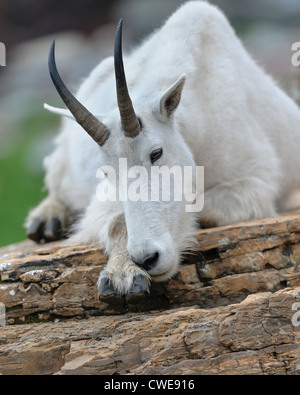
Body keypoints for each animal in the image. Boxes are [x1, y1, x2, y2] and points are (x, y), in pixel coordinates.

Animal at [25, 0, 300, 300]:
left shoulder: (256, 182)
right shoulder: (104, 197)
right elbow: (116, 219)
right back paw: (45, 221)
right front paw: (123, 275)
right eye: (106, 172)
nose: (147, 259)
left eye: (156, 153)